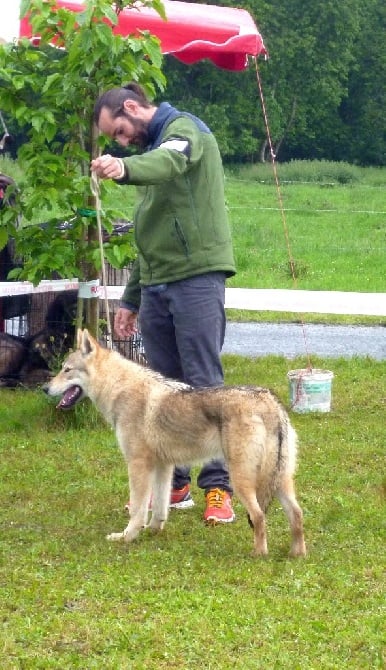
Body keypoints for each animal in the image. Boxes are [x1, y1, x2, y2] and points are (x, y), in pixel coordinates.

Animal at [45, 330, 306, 556]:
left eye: (66, 370)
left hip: (242, 480)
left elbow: (138, 509)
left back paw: (258, 554)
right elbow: (160, 506)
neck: (118, 387)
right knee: (297, 514)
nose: (45, 388)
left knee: (260, 516)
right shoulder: (163, 466)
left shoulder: (138, 465)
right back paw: (296, 554)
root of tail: (271, 402)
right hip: (280, 481)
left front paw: (127, 536)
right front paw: (152, 531)